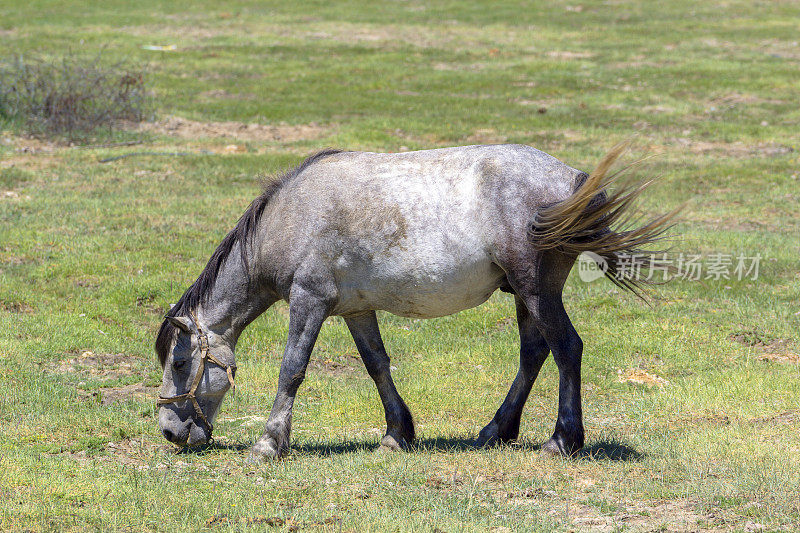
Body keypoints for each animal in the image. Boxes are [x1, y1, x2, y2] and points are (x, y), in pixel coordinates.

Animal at [153, 143, 672, 460]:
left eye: (179, 364)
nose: (170, 432)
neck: (291, 216)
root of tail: (572, 180)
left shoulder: (310, 301)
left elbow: (292, 369)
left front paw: (269, 442)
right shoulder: (355, 309)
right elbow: (377, 365)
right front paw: (397, 433)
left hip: (535, 290)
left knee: (566, 349)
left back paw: (562, 440)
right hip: (526, 296)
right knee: (534, 354)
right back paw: (496, 432)